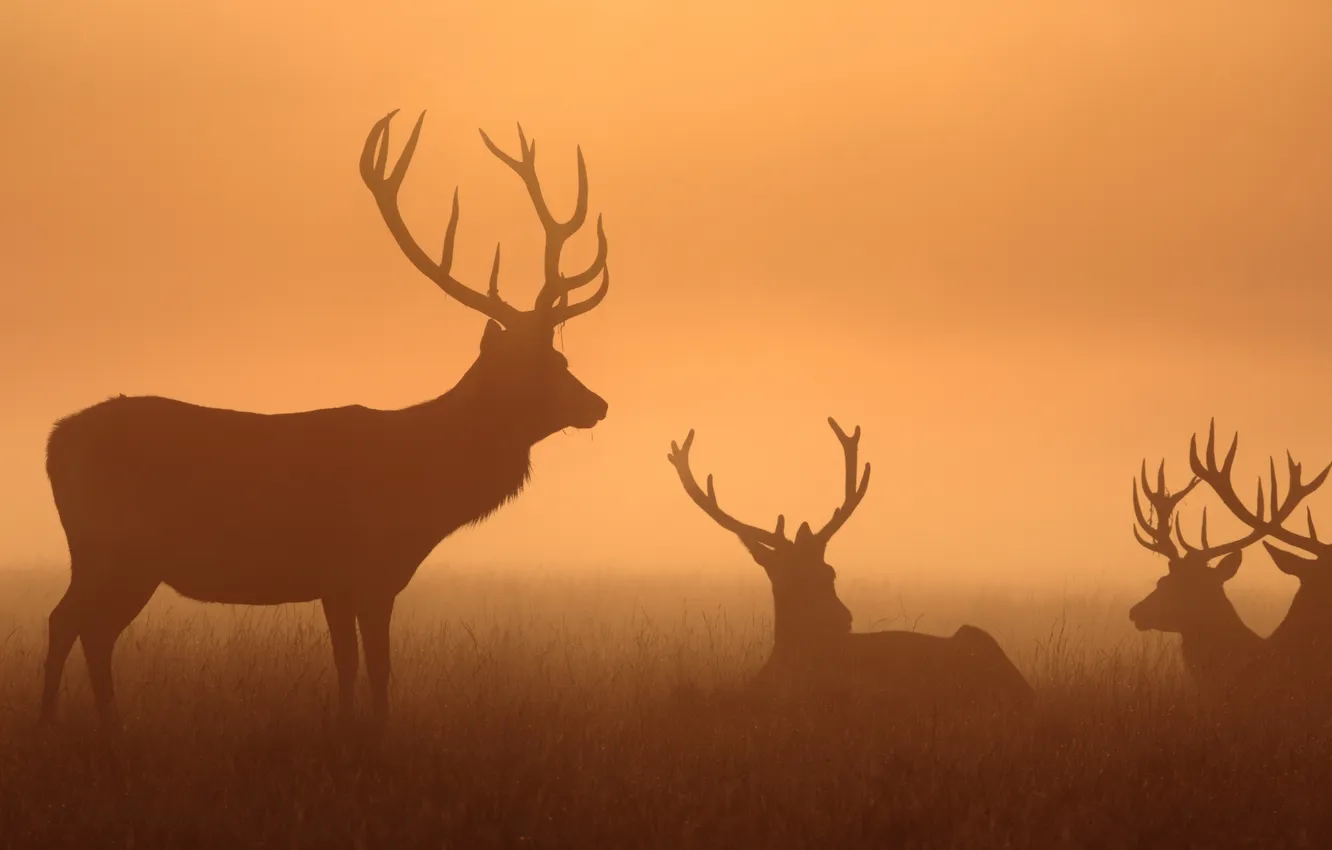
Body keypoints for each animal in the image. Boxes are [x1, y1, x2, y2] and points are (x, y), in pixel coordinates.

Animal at [40, 109, 611, 732]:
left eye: (561, 358)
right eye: (543, 366)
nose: (598, 405)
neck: (423, 490)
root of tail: (53, 441)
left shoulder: (357, 581)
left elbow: (358, 667)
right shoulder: (355, 570)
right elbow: (368, 668)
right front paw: (366, 735)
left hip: (117, 556)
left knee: (87, 628)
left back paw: (105, 726)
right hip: (114, 545)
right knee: (69, 622)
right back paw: (67, 725)